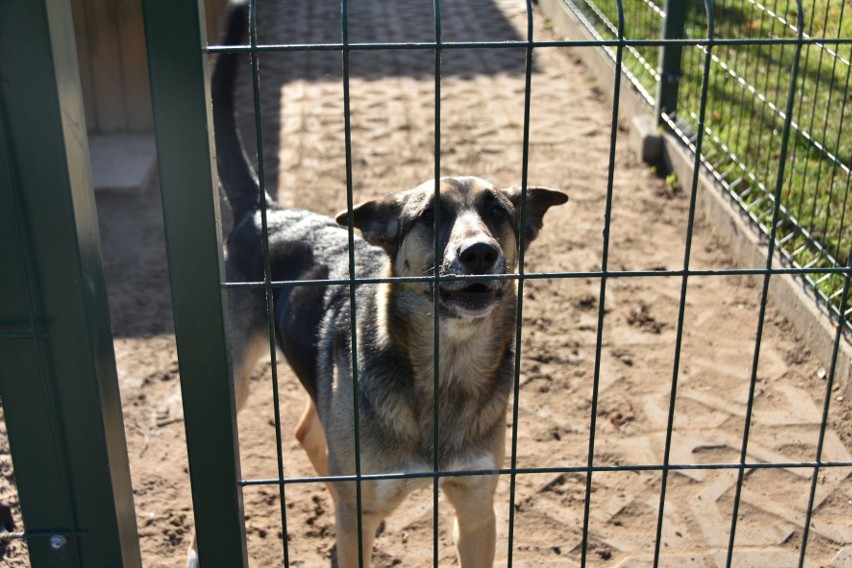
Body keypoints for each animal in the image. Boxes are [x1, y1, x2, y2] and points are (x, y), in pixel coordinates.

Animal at [191, 5, 568, 568]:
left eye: (497, 212)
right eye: (430, 216)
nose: (479, 253)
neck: (446, 368)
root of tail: (263, 209)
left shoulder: (477, 511)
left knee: (312, 437)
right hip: (235, 379)